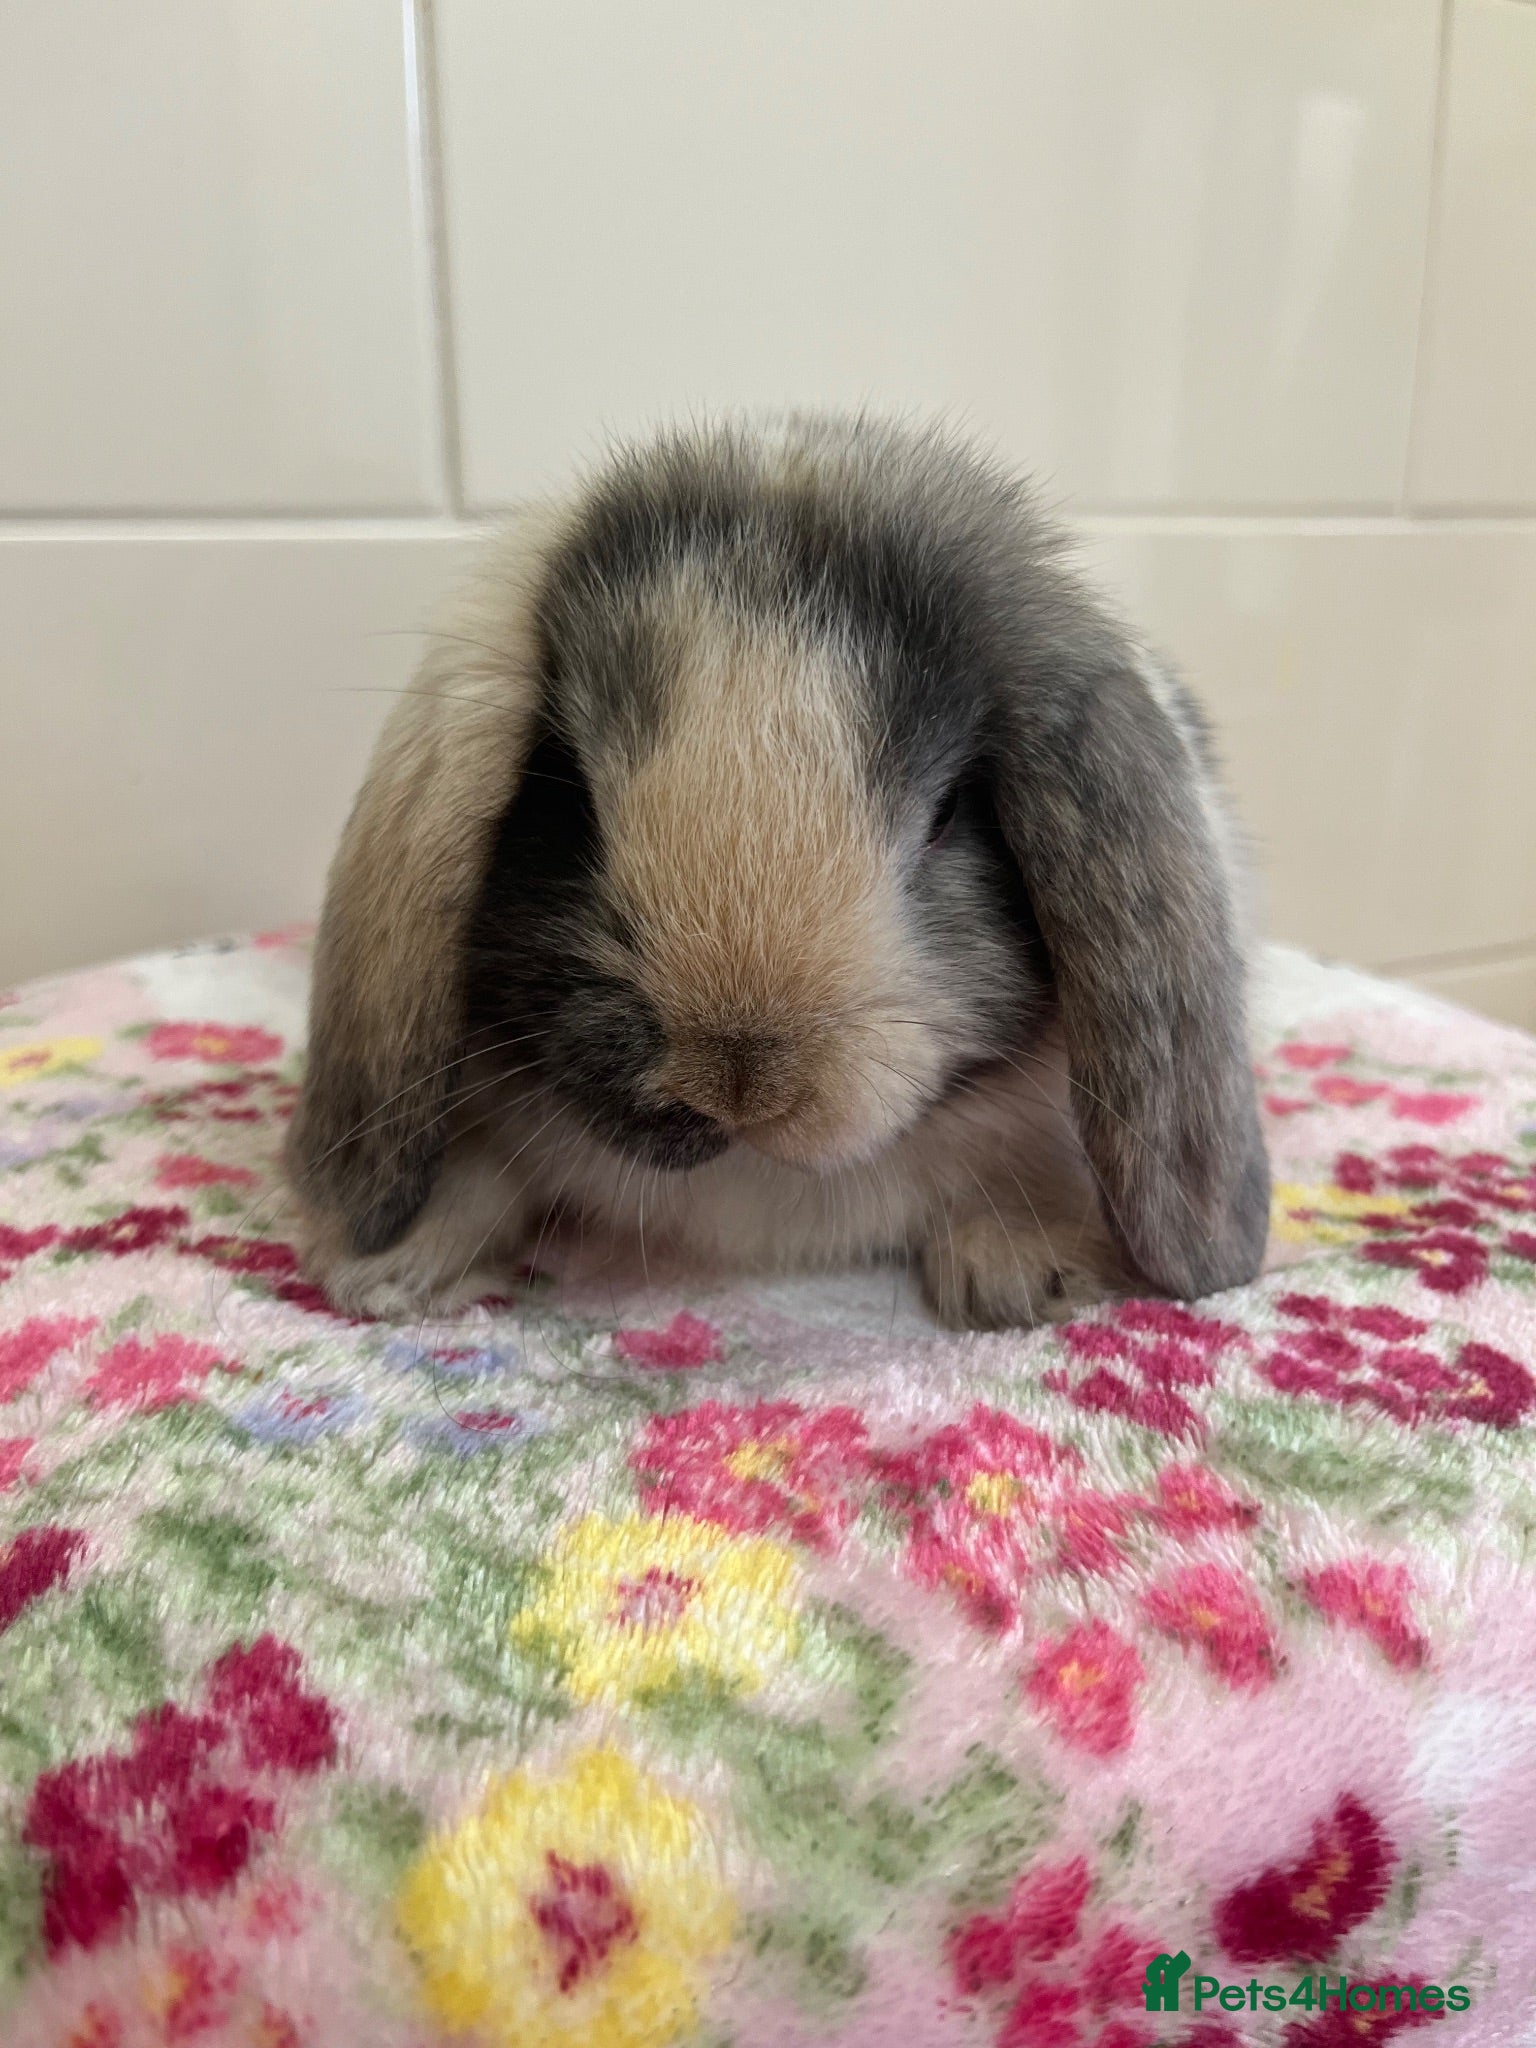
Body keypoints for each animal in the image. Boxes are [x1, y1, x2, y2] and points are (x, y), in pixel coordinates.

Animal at [285, 414, 1269, 1330]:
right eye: (567, 793)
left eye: (949, 812)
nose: (739, 1081)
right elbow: (481, 1177)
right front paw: (388, 1270)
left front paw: (1028, 1274)